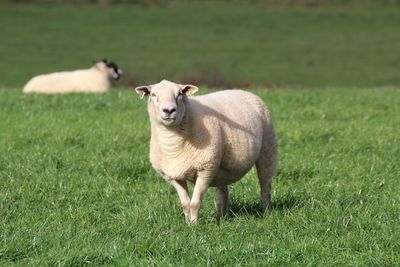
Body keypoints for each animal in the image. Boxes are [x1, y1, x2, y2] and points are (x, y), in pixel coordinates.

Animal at [135, 80, 278, 224]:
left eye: (180, 93)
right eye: (153, 94)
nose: (169, 110)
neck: (173, 145)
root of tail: (243, 91)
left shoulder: (206, 170)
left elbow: (195, 203)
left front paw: (194, 225)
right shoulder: (173, 176)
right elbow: (185, 203)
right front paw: (188, 223)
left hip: (268, 149)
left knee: (265, 186)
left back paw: (267, 213)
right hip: (221, 167)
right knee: (222, 193)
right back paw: (220, 217)